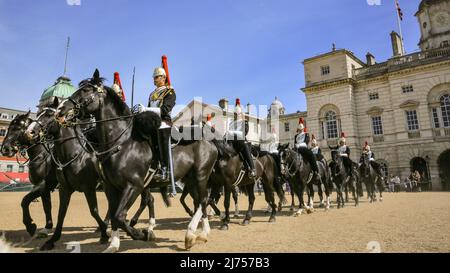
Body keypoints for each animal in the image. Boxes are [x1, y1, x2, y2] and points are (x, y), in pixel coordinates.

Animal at [25, 103, 109, 249]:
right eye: (39, 113)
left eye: (49, 115)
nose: (29, 132)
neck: (74, 156)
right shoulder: (64, 189)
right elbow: (61, 213)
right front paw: (51, 240)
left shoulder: (88, 188)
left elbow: (93, 211)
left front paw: (104, 233)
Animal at [56, 70, 218, 251]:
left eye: (85, 90)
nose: (60, 110)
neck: (121, 143)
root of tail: (210, 141)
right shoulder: (111, 187)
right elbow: (114, 215)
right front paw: (113, 244)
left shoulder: (134, 185)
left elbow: (119, 216)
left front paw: (142, 234)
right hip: (189, 179)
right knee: (200, 202)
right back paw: (202, 233)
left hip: (200, 176)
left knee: (203, 200)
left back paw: (191, 234)